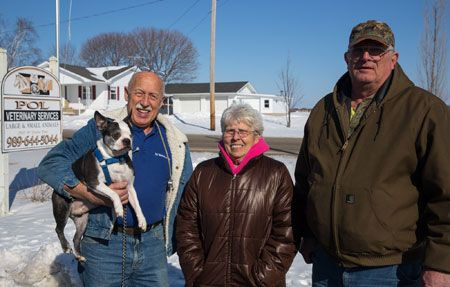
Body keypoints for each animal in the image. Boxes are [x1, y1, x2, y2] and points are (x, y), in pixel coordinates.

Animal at [52, 111, 147, 264]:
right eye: (116, 135)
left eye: (131, 135)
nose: (127, 141)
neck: (115, 159)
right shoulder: (94, 182)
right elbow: (114, 193)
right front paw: (119, 208)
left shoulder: (130, 187)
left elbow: (137, 205)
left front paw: (142, 221)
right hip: (62, 208)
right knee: (58, 229)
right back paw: (66, 247)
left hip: (83, 220)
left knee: (76, 237)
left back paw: (79, 255)